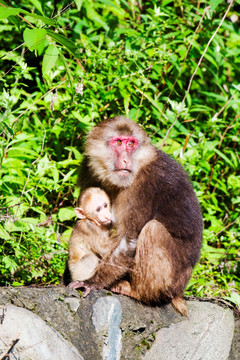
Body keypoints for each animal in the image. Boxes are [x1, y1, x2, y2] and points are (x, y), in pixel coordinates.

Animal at [74, 116, 202, 316]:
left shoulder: (144, 185)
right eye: (118, 142)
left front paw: (93, 282)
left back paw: (138, 293)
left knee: (153, 230)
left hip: (173, 283)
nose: (126, 159)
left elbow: (129, 239)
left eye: (131, 144)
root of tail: (180, 292)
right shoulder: (88, 168)